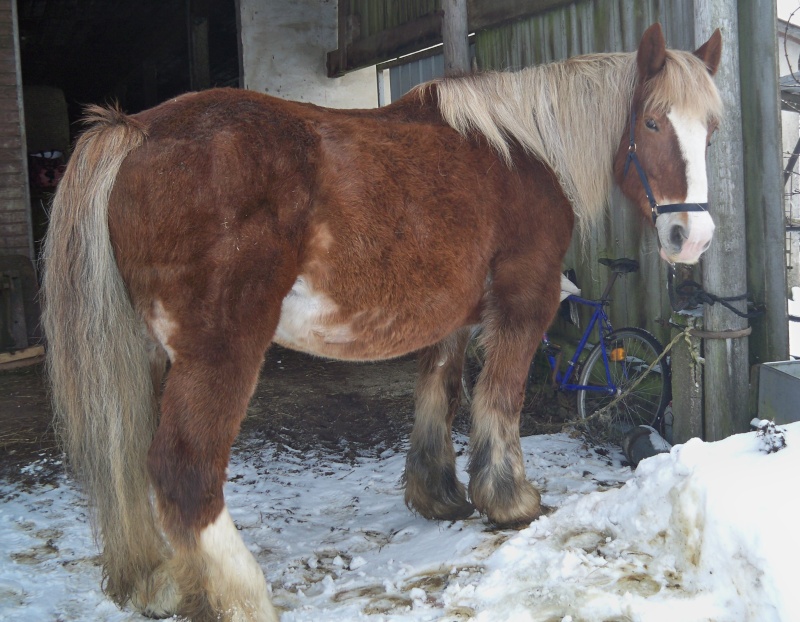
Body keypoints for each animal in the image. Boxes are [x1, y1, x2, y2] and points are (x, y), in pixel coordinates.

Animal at [40, 23, 720, 622]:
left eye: (710, 131)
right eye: (652, 122)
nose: (692, 238)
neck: (525, 149)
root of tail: (136, 131)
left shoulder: (453, 318)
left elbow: (440, 395)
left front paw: (438, 496)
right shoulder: (524, 300)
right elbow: (501, 399)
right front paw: (509, 501)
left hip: (151, 357)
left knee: (134, 461)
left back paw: (161, 586)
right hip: (219, 354)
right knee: (183, 475)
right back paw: (244, 598)